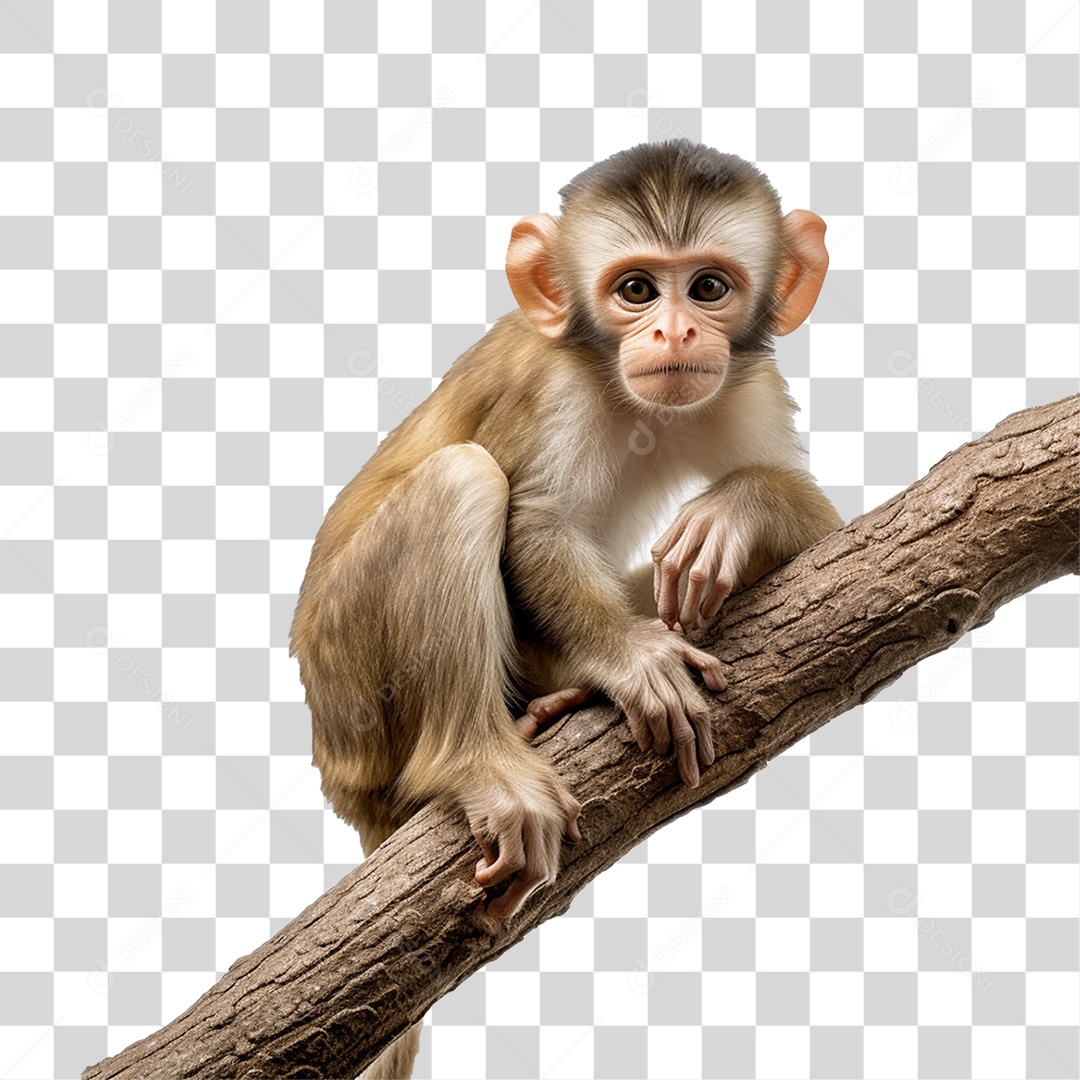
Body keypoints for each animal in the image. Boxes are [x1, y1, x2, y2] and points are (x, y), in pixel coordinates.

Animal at [290, 139, 842, 1079]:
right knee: (463, 478)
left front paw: (738, 512)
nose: (674, 333)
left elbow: (833, 542)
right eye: (636, 290)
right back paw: (482, 761)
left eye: (708, 287)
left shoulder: (749, 382)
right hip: (353, 691)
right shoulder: (551, 389)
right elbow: (535, 528)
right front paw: (635, 659)